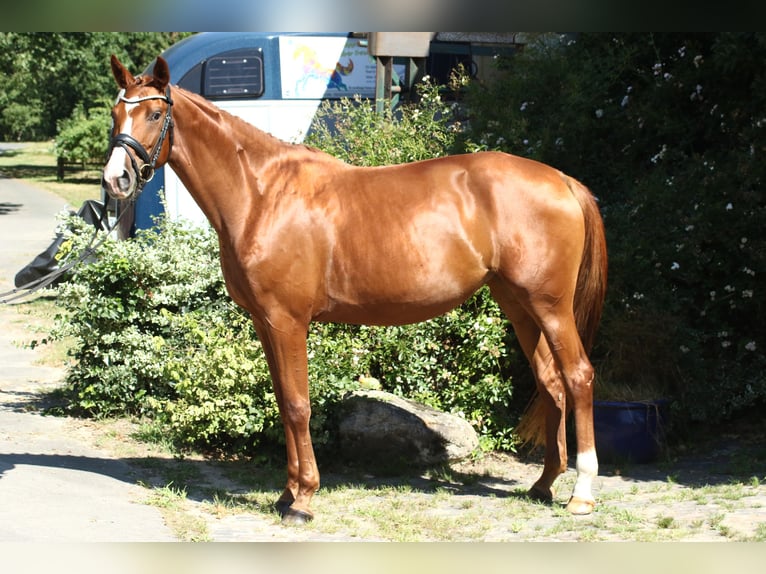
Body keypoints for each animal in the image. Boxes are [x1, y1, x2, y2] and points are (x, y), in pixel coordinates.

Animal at [102, 55, 607, 525]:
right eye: (115, 113)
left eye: (154, 114)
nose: (115, 179)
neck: (262, 194)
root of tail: (561, 180)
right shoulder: (266, 323)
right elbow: (284, 403)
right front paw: (287, 493)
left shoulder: (287, 321)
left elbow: (298, 405)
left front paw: (303, 500)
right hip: (520, 306)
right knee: (551, 384)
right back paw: (543, 484)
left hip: (550, 307)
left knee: (578, 376)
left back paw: (582, 494)